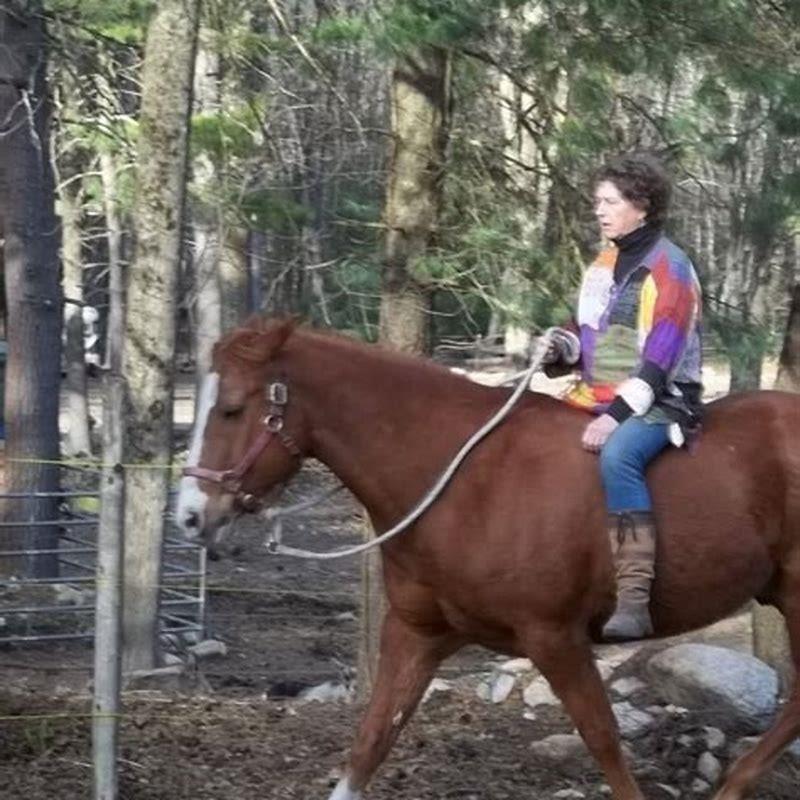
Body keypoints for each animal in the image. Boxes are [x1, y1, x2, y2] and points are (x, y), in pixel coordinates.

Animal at [176, 316, 800, 800]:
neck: (465, 480)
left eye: (231, 409)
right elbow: (370, 743)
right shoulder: (417, 634)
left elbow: (603, 740)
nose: (189, 515)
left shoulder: (555, 638)